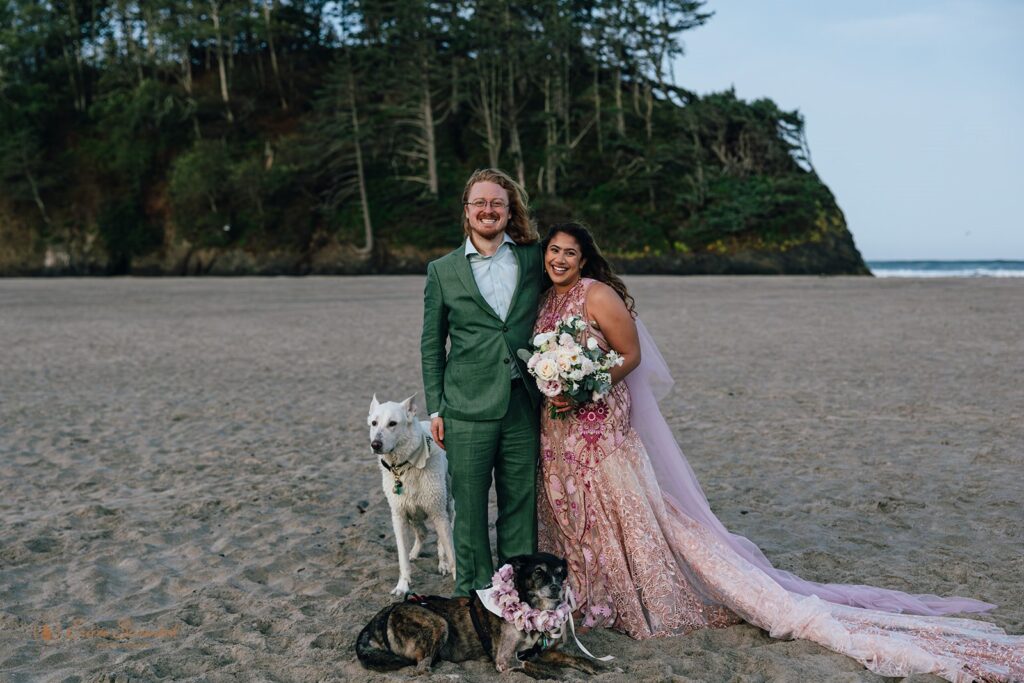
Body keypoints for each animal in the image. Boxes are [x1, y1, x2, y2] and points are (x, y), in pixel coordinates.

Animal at [356, 552, 602, 675]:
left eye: (561, 574)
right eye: (539, 572)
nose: (556, 588)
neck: (531, 608)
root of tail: (384, 613)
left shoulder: (541, 652)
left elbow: (571, 657)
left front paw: (594, 666)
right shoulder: (505, 659)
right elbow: (538, 668)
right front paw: (553, 674)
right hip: (438, 623)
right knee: (421, 668)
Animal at [368, 395, 456, 598]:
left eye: (392, 423)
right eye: (374, 423)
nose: (375, 445)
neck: (404, 466)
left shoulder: (438, 511)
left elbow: (447, 546)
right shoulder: (399, 516)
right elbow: (402, 557)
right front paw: (403, 585)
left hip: (446, 506)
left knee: (442, 537)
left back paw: (443, 563)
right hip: (413, 512)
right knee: (422, 532)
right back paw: (414, 553)